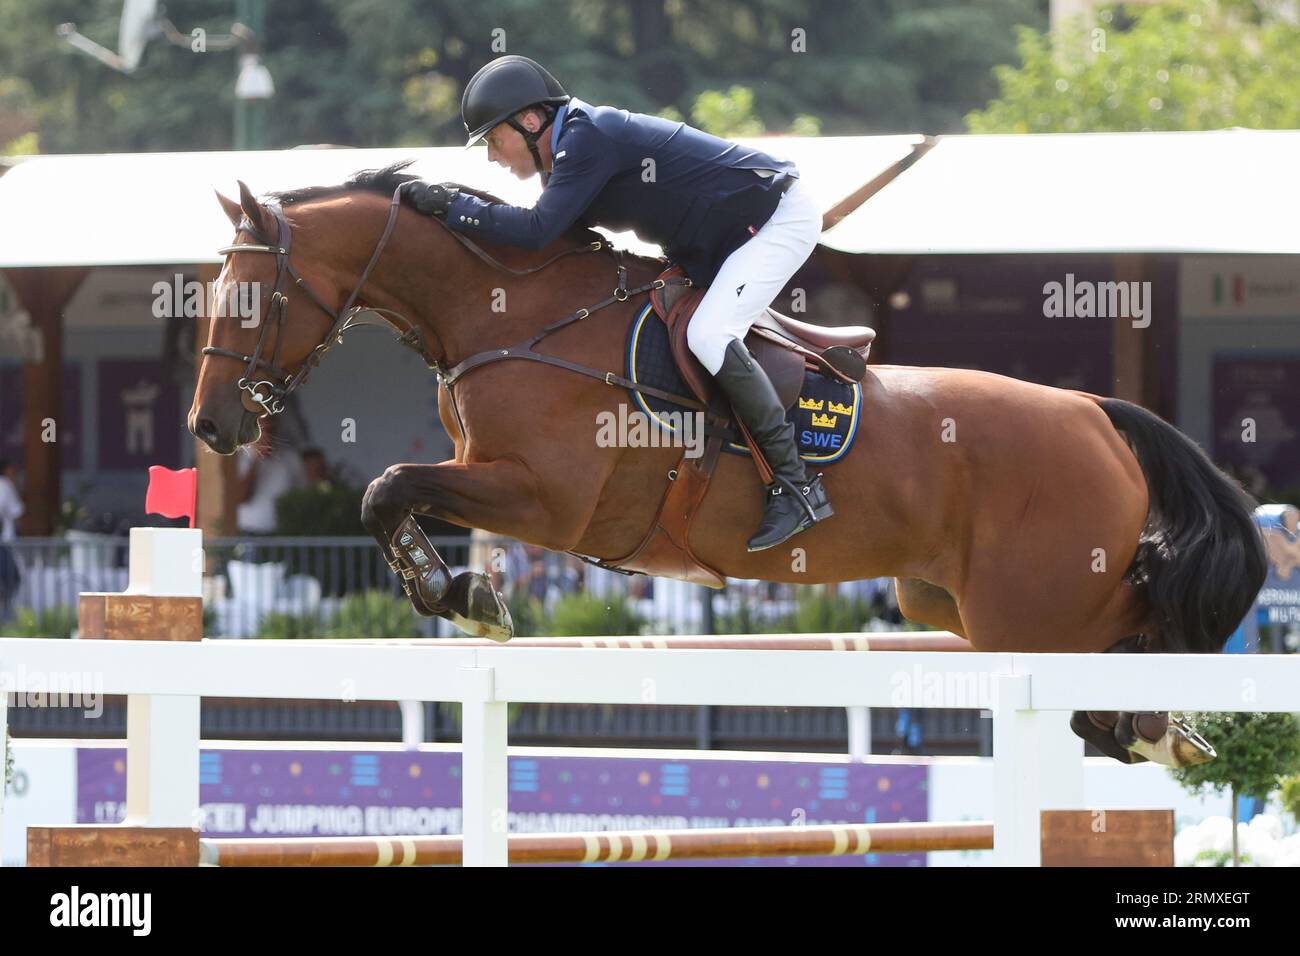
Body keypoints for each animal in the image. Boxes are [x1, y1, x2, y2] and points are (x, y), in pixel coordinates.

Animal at [192, 160, 1268, 764]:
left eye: (247, 299)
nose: (210, 427)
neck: (517, 318)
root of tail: (1096, 413)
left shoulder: (548, 500)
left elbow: (387, 488)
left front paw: (452, 591)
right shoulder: (499, 482)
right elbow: (399, 496)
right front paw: (462, 588)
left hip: (1031, 608)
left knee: (1142, 624)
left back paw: (1166, 724)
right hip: (951, 601)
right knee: (1126, 642)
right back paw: (1162, 730)